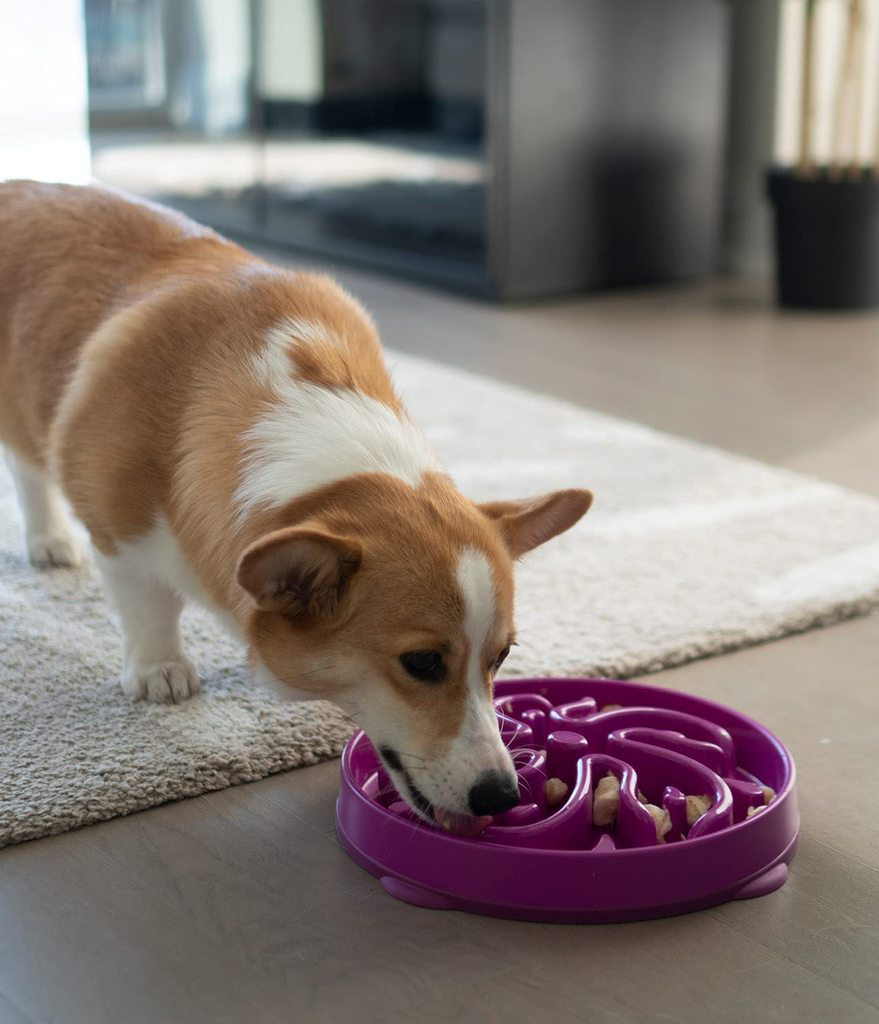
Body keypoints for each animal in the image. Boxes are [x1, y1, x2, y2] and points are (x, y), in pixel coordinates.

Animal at [1, 180, 590, 827]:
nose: (501, 795)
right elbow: (148, 602)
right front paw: (160, 671)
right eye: (422, 662)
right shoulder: (121, 532)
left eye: (502, 655)